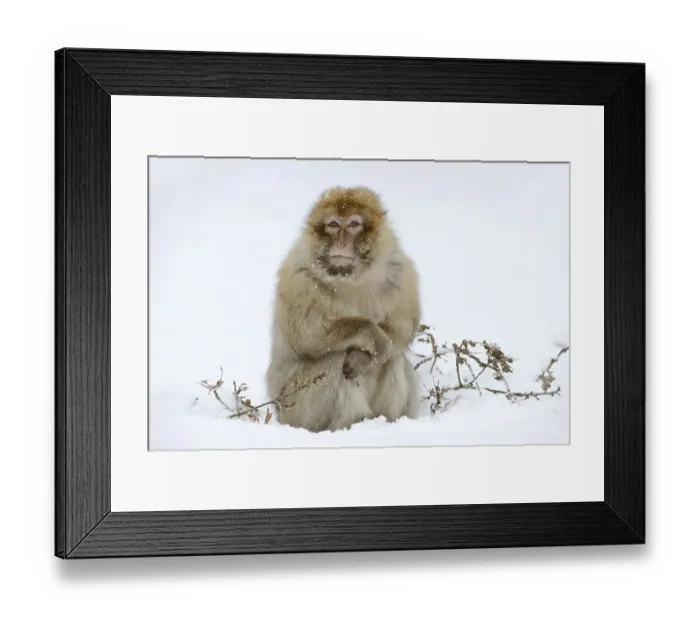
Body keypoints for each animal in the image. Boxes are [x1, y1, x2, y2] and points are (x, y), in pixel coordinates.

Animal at [265, 186, 422, 433]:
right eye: (334, 224)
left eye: (354, 224)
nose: (341, 241)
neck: (350, 278)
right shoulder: (299, 278)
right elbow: (308, 335)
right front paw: (372, 336)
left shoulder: (401, 272)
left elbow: (401, 329)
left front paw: (363, 357)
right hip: (296, 409)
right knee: (336, 358)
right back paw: (350, 423)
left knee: (393, 357)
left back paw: (387, 421)